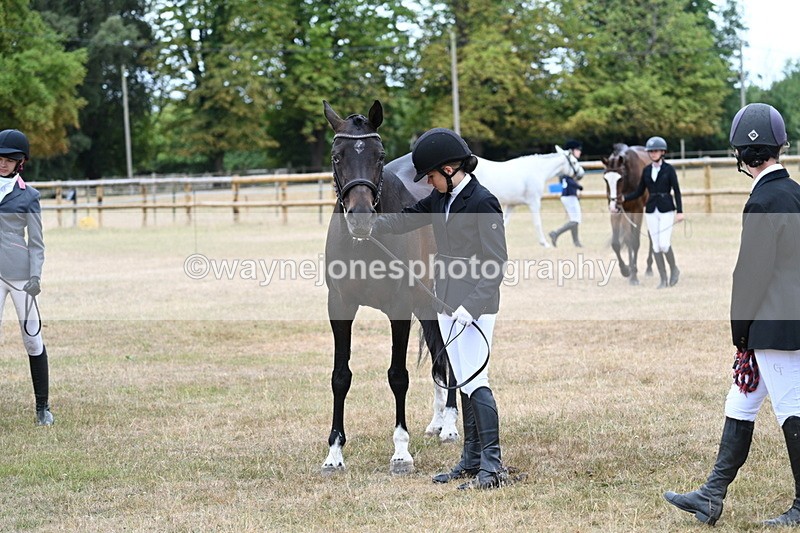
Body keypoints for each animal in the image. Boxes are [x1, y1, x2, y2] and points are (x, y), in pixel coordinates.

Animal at [321, 100, 459, 475]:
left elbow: (398, 376)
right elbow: (340, 376)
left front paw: (401, 452)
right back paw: (438, 422)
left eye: (379, 155)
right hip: (426, 305)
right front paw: (334, 453)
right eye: (336, 156)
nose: (360, 218)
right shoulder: (339, 306)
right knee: (439, 354)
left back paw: (450, 425)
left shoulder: (399, 308)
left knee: (449, 354)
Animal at [385, 148, 585, 247]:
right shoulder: (533, 202)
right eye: (574, 162)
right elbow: (537, 223)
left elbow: (504, 223)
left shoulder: (511, 205)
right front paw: (544, 242)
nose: (581, 174)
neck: (535, 170)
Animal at [601, 143, 654, 285]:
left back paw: (648, 268)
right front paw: (625, 270)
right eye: (605, 179)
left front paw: (634, 277)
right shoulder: (616, 212)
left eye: (620, 178)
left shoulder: (637, 210)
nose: (613, 205)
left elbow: (635, 242)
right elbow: (617, 243)